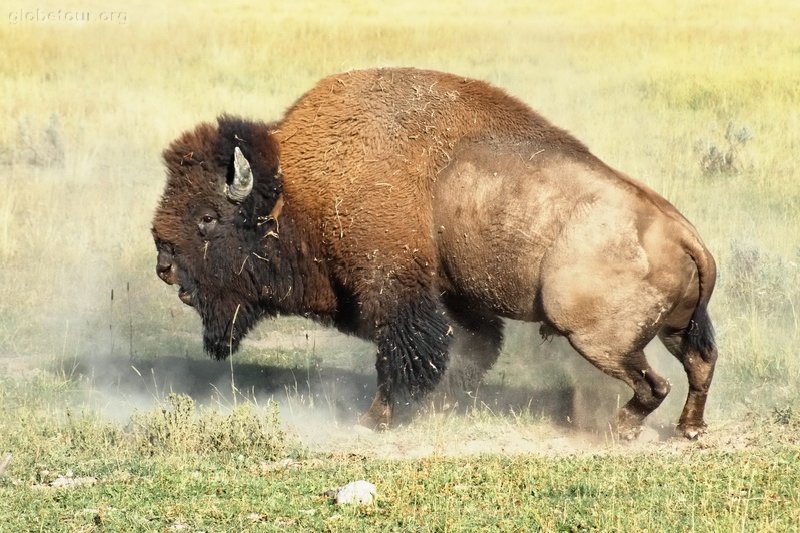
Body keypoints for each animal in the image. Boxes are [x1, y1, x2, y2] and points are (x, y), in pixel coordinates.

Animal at [152, 68, 720, 438]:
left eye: (207, 217)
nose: (163, 263)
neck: (300, 186)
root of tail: (684, 235)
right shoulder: (453, 297)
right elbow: (467, 348)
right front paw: (443, 406)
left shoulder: (393, 291)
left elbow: (407, 355)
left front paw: (376, 420)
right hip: (674, 328)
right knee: (699, 364)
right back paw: (688, 430)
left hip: (596, 338)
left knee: (655, 383)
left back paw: (622, 429)